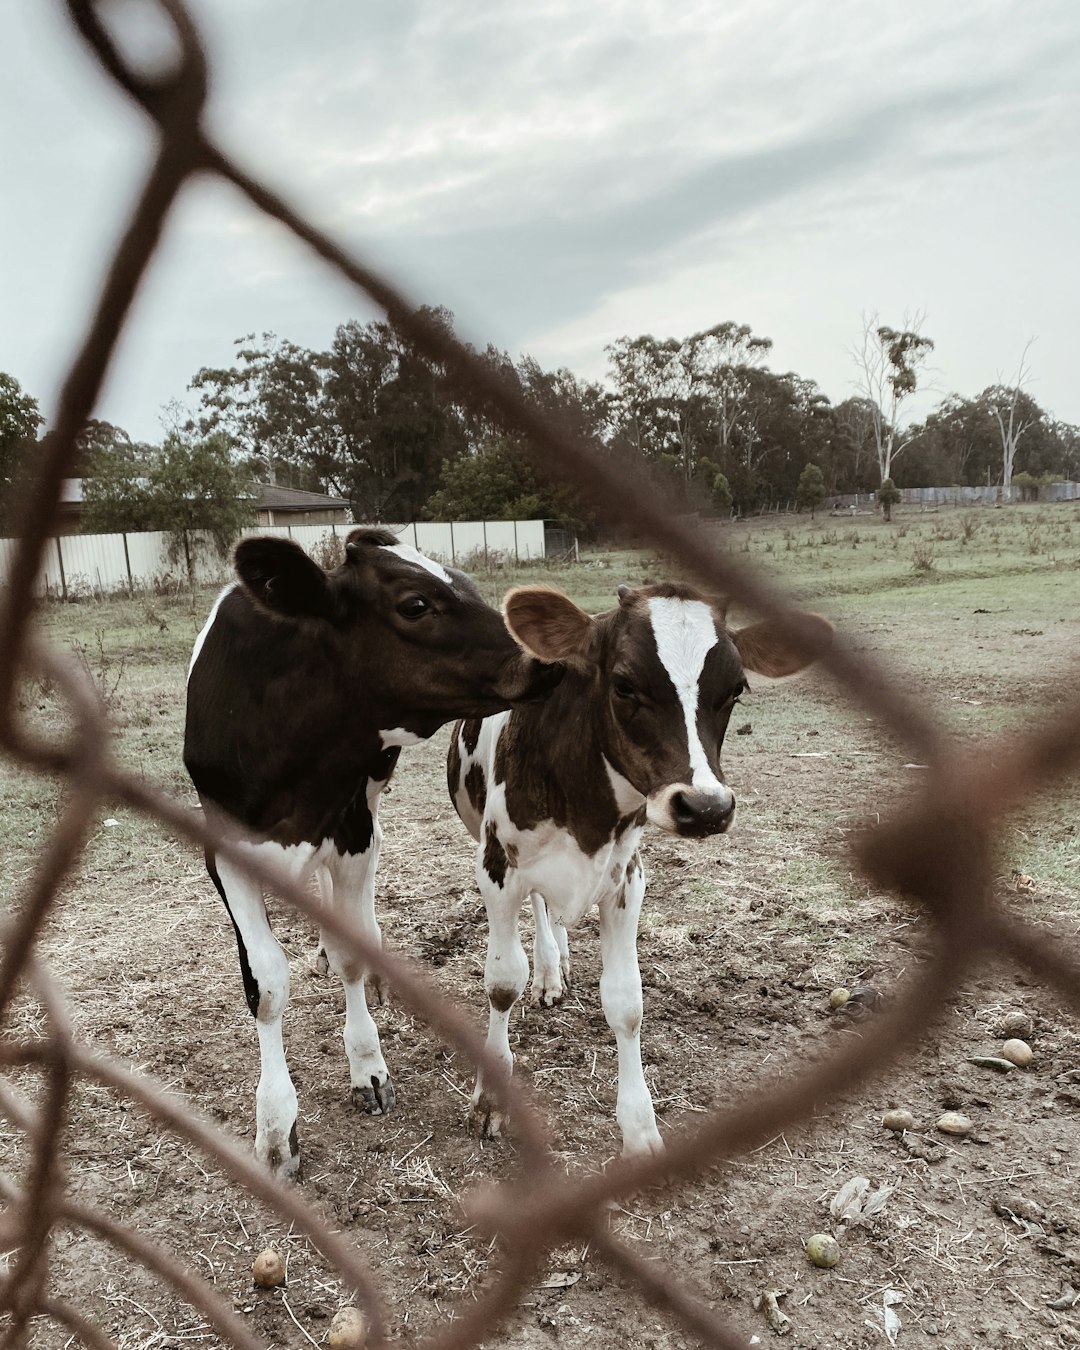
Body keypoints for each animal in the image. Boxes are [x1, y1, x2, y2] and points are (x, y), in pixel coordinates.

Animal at [182, 531, 561, 1177]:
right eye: (415, 604)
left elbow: (352, 954)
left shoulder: (351, 826)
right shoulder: (226, 852)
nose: (546, 657)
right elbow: (265, 985)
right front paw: (275, 1128)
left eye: (468, 583)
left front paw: (367, 1066)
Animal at [445, 577, 826, 1150]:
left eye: (736, 689)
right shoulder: (496, 869)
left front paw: (640, 1128)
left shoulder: (627, 879)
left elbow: (626, 1003)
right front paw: (491, 1096)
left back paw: (556, 966)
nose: (706, 807)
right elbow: (503, 981)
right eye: (624, 684)